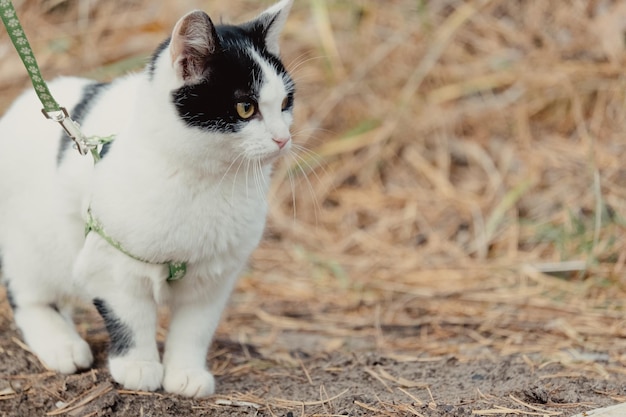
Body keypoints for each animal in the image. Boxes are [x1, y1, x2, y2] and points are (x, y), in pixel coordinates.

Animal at [0, 0, 294, 396]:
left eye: (286, 102)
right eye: (245, 108)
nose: (283, 138)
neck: (205, 180)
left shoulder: (214, 278)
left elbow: (194, 328)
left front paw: (185, 373)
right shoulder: (111, 264)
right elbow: (131, 316)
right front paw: (138, 366)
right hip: (30, 245)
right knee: (29, 296)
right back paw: (61, 343)